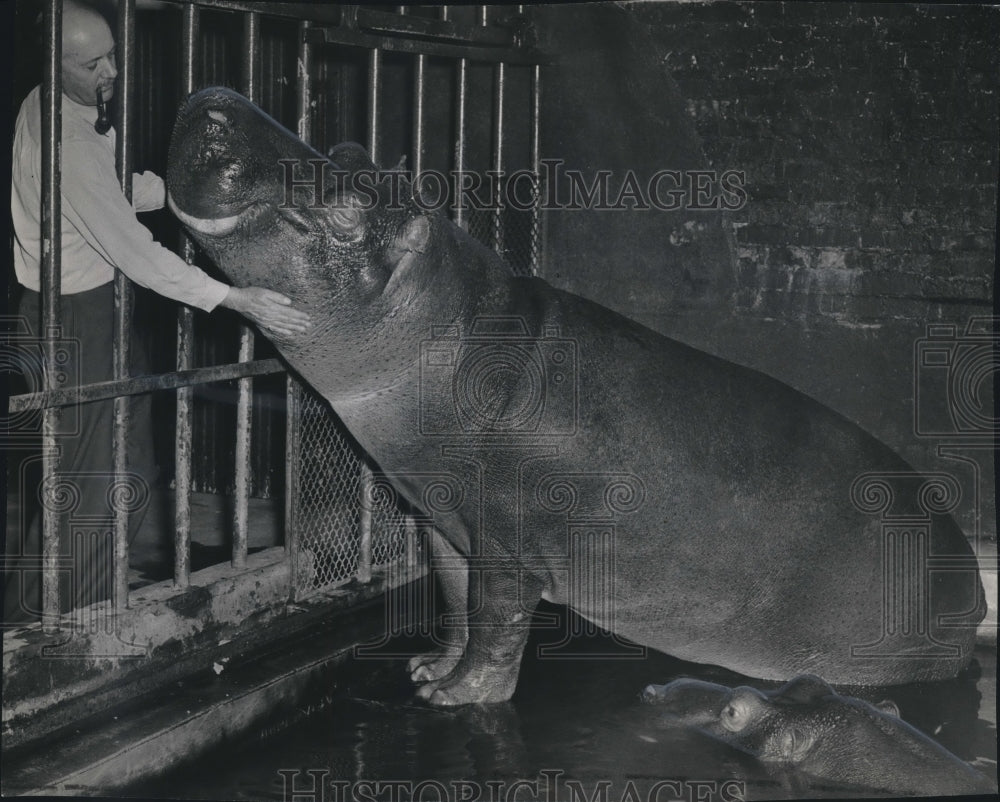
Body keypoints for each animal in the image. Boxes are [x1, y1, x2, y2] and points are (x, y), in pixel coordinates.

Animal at [164, 84, 984, 704]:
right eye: (344, 152)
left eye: (347, 209)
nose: (217, 101)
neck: (440, 323)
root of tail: (971, 597)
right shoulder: (445, 524)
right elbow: (456, 604)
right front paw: (427, 670)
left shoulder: (508, 542)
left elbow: (496, 623)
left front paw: (456, 700)